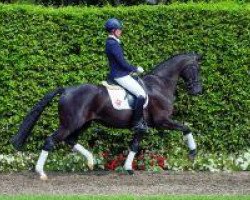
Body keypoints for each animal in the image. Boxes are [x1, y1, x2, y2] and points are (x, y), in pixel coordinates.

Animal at [12, 52, 203, 180]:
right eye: (196, 68)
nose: (197, 90)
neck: (159, 84)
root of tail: (66, 90)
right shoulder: (162, 121)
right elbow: (186, 128)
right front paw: (192, 153)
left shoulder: (142, 127)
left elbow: (134, 146)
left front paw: (128, 168)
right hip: (70, 124)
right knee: (50, 141)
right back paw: (41, 173)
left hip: (83, 123)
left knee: (71, 140)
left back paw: (91, 161)